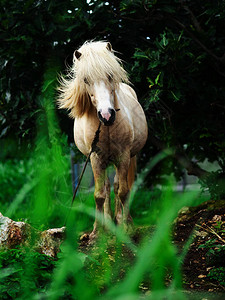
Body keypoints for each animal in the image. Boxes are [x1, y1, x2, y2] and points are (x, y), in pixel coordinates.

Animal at [57, 41, 148, 239]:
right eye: (85, 80)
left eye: (110, 75)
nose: (106, 115)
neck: (105, 129)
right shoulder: (95, 158)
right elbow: (99, 194)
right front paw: (97, 231)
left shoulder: (123, 156)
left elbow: (123, 191)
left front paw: (126, 228)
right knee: (106, 187)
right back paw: (108, 223)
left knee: (118, 185)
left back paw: (121, 220)